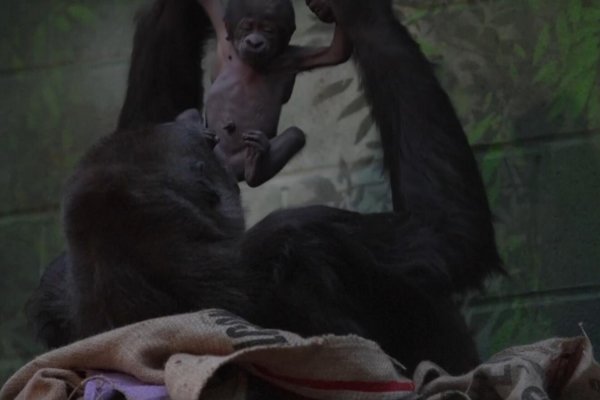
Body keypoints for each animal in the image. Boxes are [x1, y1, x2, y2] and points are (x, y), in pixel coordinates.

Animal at [199, 0, 354, 186]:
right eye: (247, 28)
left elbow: (335, 53)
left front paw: (325, 9)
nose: (255, 42)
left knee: (294, 135)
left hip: (240, 160)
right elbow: (212, 8)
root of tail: (229, 169)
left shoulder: (290, 57)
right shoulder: (225, 43)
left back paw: (255, 166)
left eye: (268, 30)